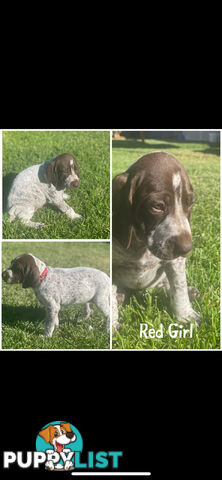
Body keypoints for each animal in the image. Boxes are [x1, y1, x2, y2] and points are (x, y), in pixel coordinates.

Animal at [112, 151, 200, 330]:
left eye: (190, 203)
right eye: (157, 206)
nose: (187, 249)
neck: (141, 244)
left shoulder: (175, 261)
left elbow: (179, 287)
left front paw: (185, 316)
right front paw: (109, 326)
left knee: (166, 286)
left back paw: (189, 292)